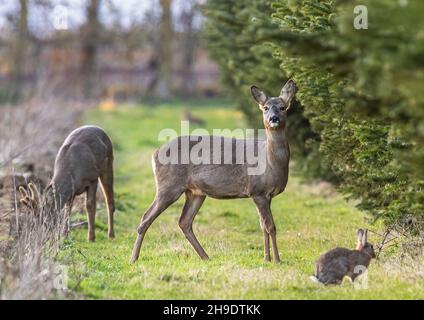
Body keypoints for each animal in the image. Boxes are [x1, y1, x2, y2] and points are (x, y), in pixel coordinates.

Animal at [131, 79, 296, 262]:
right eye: (265, 108)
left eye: (283, 107)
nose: (273, 118)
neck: (270, 162)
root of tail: (155, 153)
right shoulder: (257, 191)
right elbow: (270, 226)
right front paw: (276, 260)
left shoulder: (266, 195)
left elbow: (263, 226)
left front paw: (267, 258)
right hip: (168, 186)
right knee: (146, 217)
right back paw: (133, 259)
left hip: (195, 192)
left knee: (184, 222)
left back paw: (205, 257)